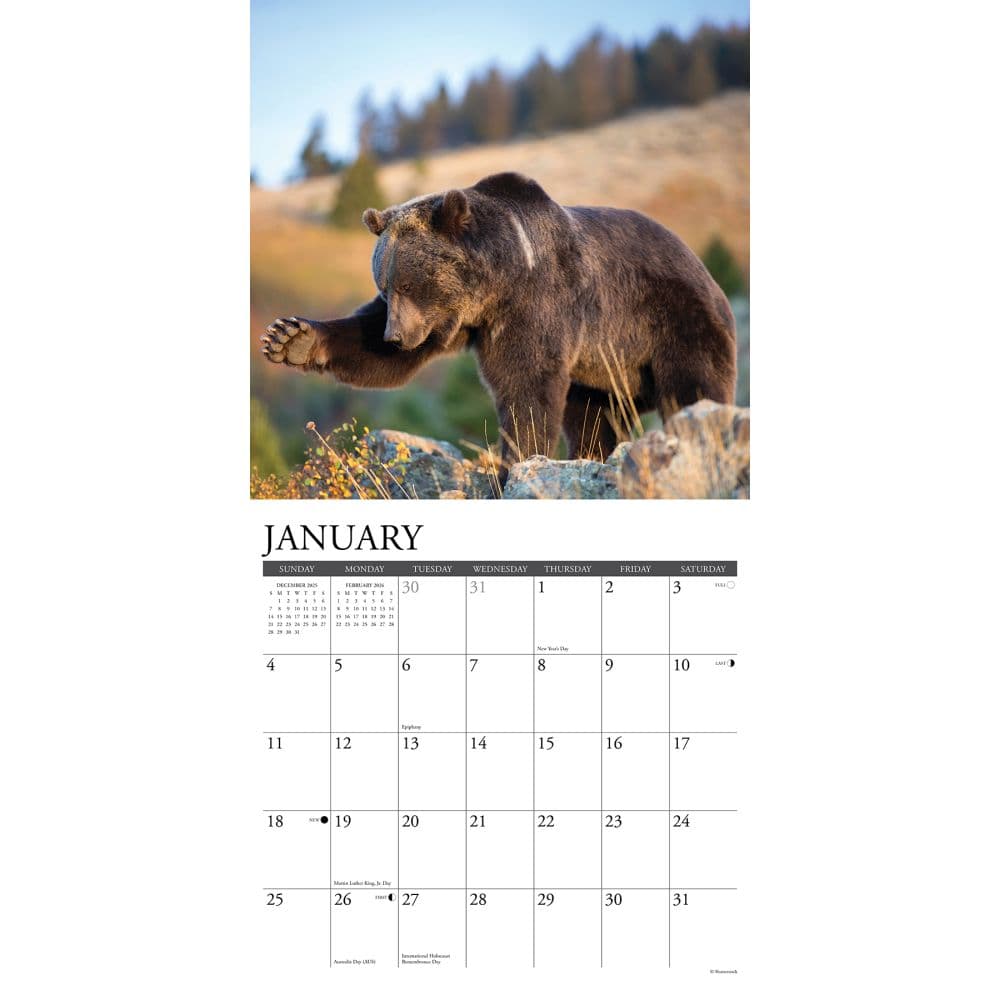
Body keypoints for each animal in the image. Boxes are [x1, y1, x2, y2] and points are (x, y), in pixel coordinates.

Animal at [261, 172, 737, 475]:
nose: (395, 337)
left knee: (694, 389)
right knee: (593, 417)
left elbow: (526, 385)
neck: (496, 285)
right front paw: (289, 338)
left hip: (673, 324)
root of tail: (708, 275)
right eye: (385, 284)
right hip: (602, 370)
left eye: (410, 283)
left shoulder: (537, 304)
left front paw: (515, 464)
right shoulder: (455, 322)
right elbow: (372, 350)